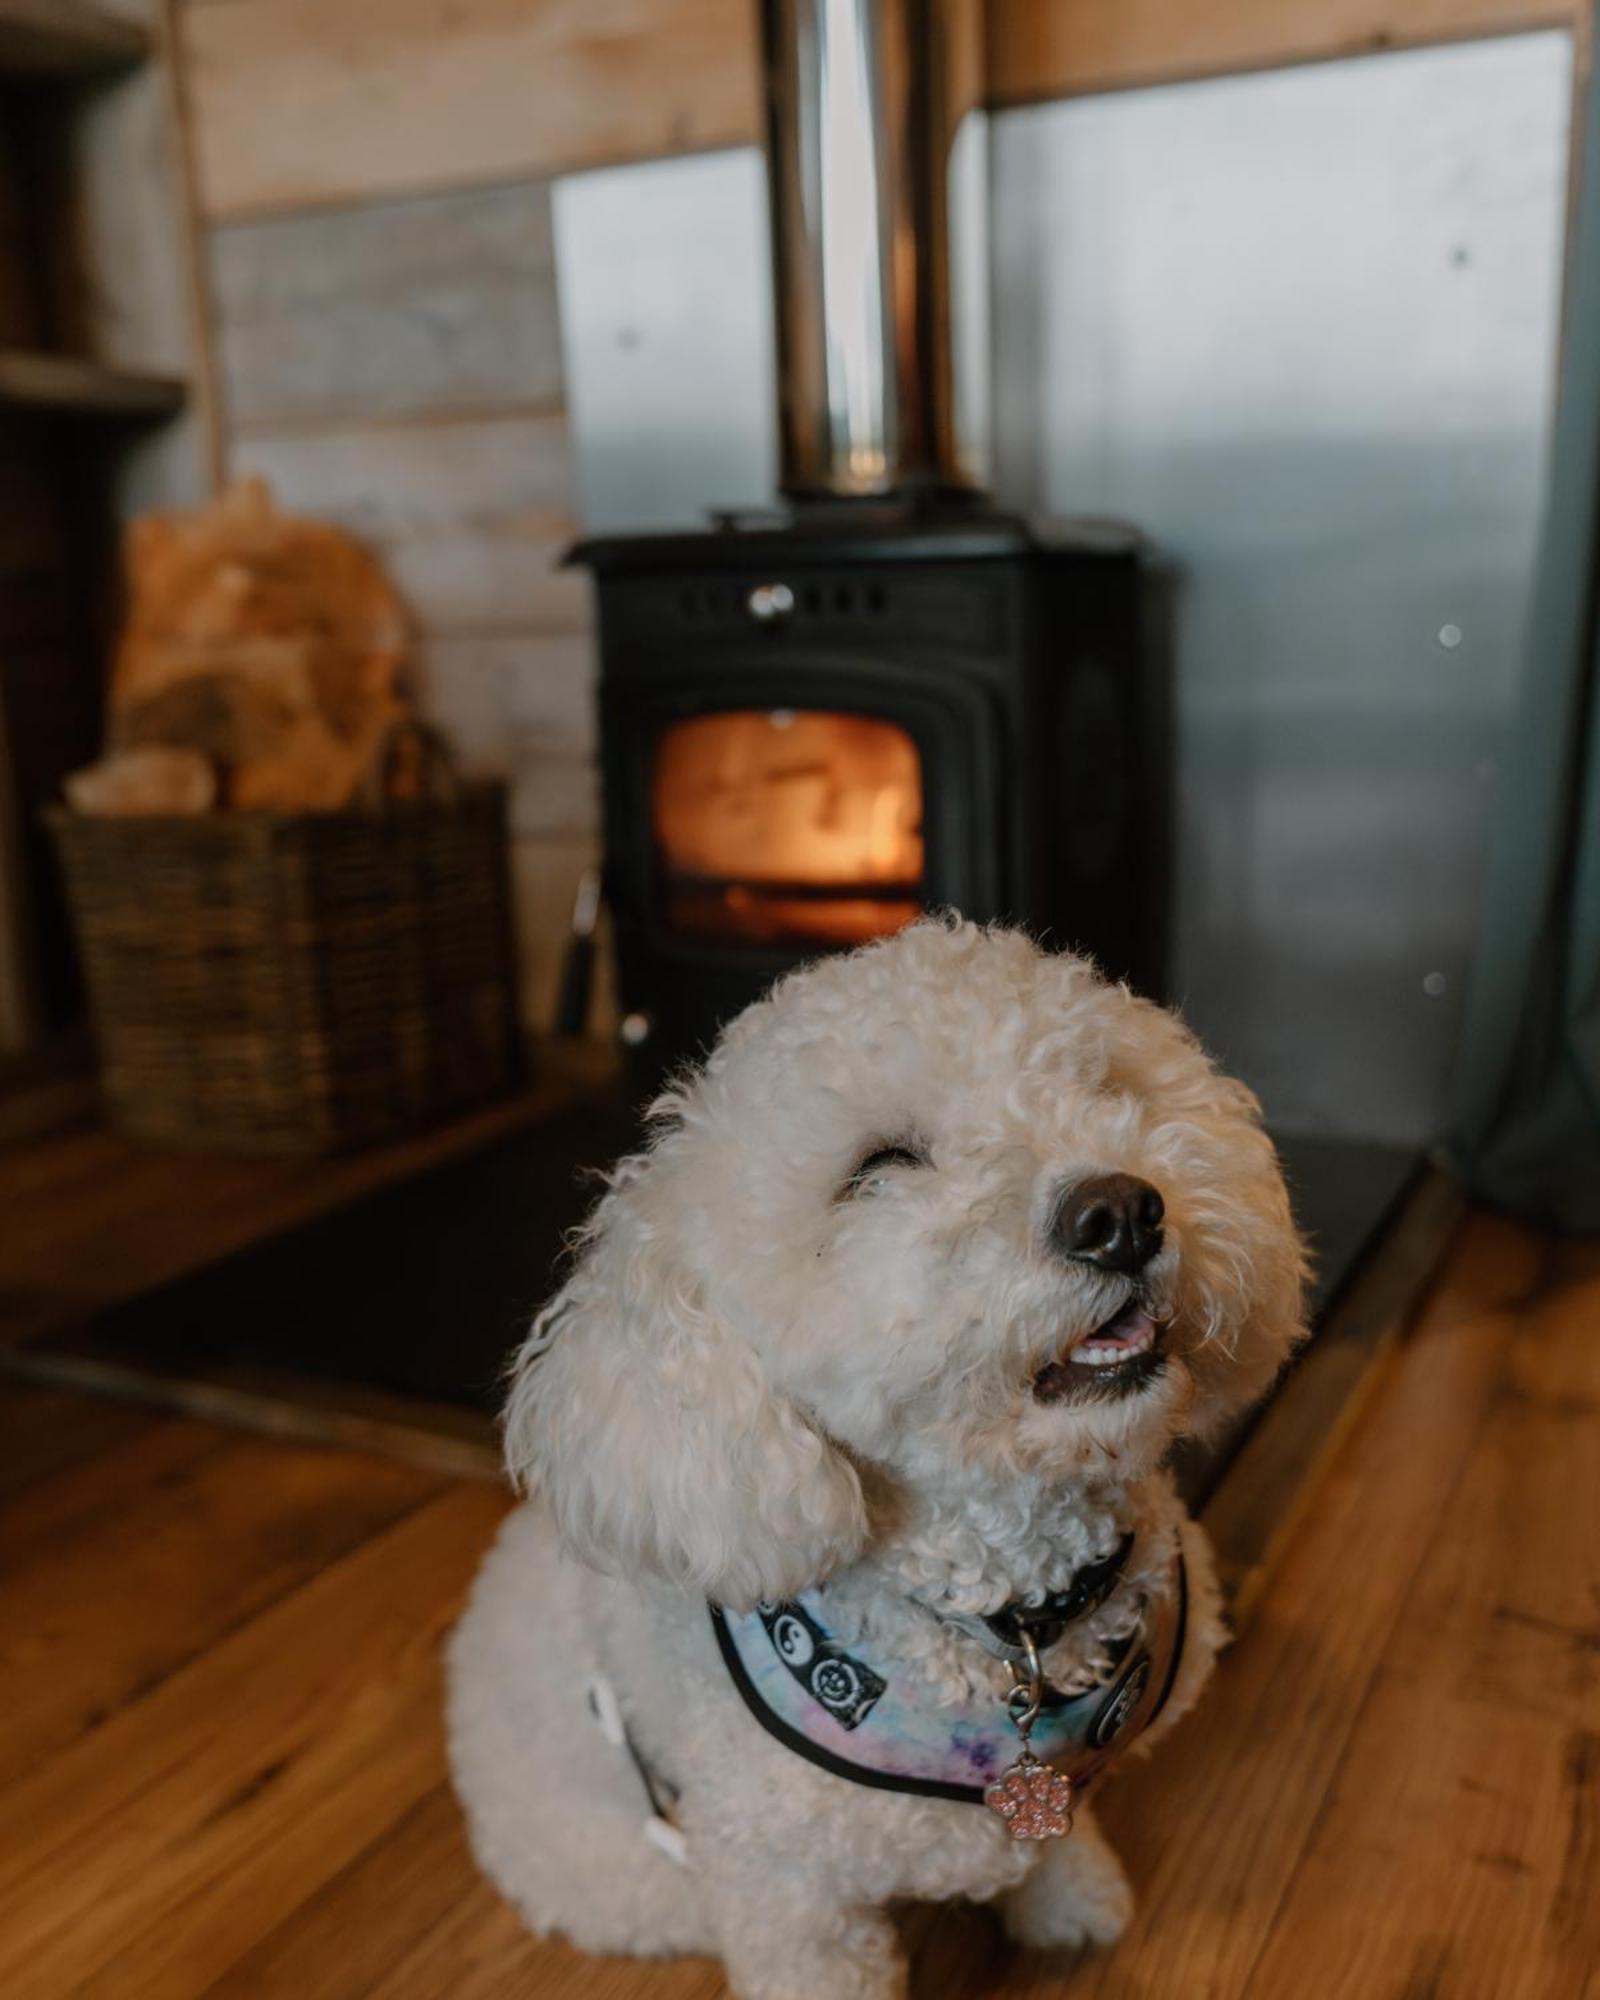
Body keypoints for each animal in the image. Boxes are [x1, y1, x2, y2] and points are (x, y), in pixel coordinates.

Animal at [444, 920, 1304, 2000]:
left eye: (1103, 1085)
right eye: (879, 1166)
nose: (1119, 1213)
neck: (1011, 1625)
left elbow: (1055, 1838)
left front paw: (1073, 1898)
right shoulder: (790, 1900)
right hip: (619, 1868)